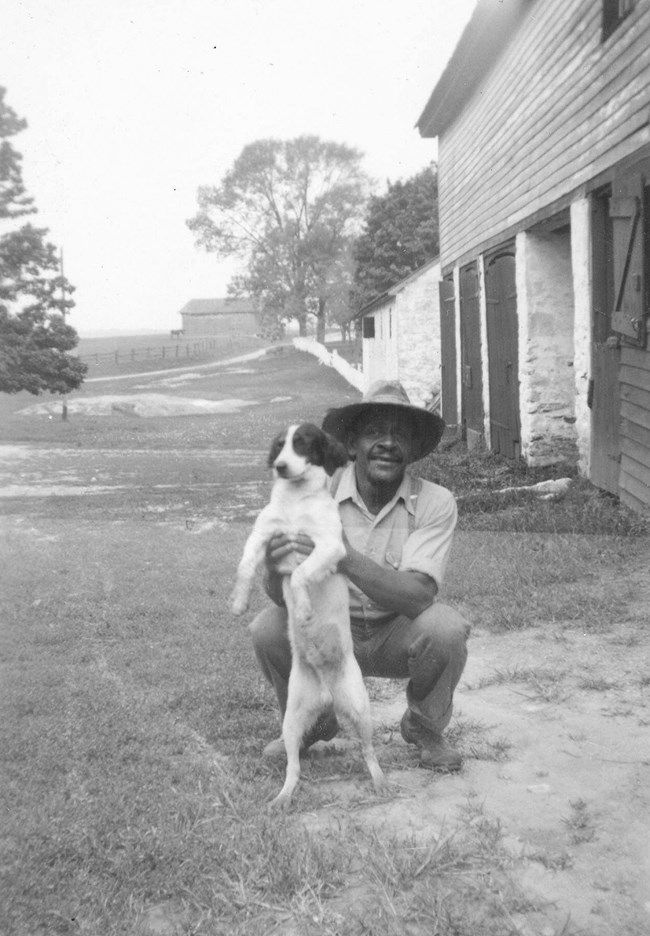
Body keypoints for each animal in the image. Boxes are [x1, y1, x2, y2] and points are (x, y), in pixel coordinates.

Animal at [230, 424, 388, 812]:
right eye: (278, 446)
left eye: (302, 443)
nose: (281, 466)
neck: (295, 503)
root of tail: (327, 695)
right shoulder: (264, 537)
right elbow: (245, 566)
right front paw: (238, 602)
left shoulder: (329, 546)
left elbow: (301, 573)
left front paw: (302, 608)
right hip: (291, 720)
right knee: (294, 768)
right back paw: (282, 797)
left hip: (360, 709)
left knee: (369, 752)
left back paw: (380, 782)